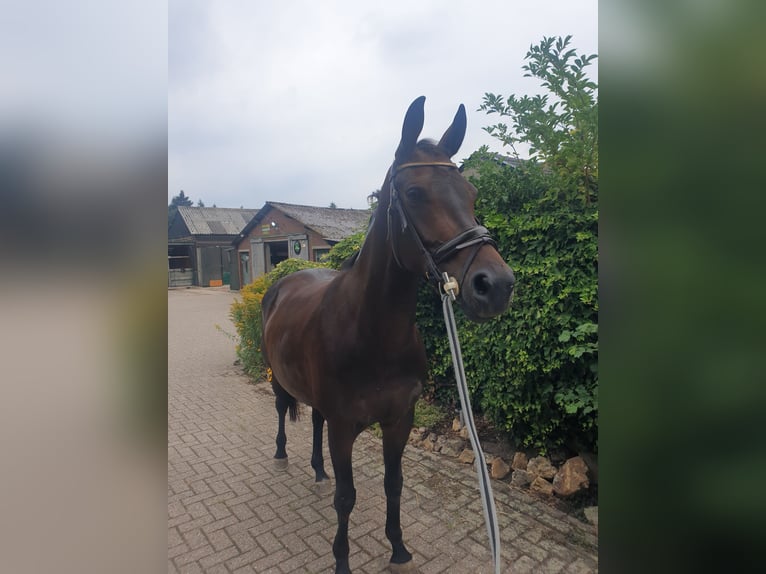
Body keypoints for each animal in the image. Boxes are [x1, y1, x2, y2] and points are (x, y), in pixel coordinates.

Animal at [261, 96, 515, 574]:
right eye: (414, 194)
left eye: (472, 194)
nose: (496, 285)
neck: (373, 335)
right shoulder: (345, 427)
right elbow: (346, 498)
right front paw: (342, 559)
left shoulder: (400, 419)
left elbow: (392, 483)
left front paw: (398, 546)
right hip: (278, 378)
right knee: (284, 409)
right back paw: (283, 454)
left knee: (315, 421)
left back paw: (317, 468)